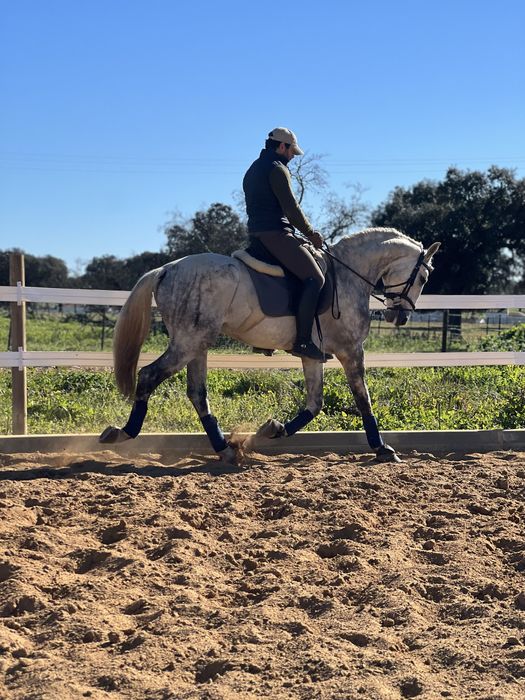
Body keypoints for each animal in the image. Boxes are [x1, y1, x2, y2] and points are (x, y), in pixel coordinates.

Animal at [99, 227, 440, 464]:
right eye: (424, 278)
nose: (400, 317)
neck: (348, 275)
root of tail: (167, 268)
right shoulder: (351, 350)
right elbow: (363, 399)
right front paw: (382, 448)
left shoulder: (314, 356)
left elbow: (314, 404)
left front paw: (271, 430)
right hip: (187, 343)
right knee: (148, 376)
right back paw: (123, 433)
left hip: (197, 345)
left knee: (197, 394)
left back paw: (226, 450)